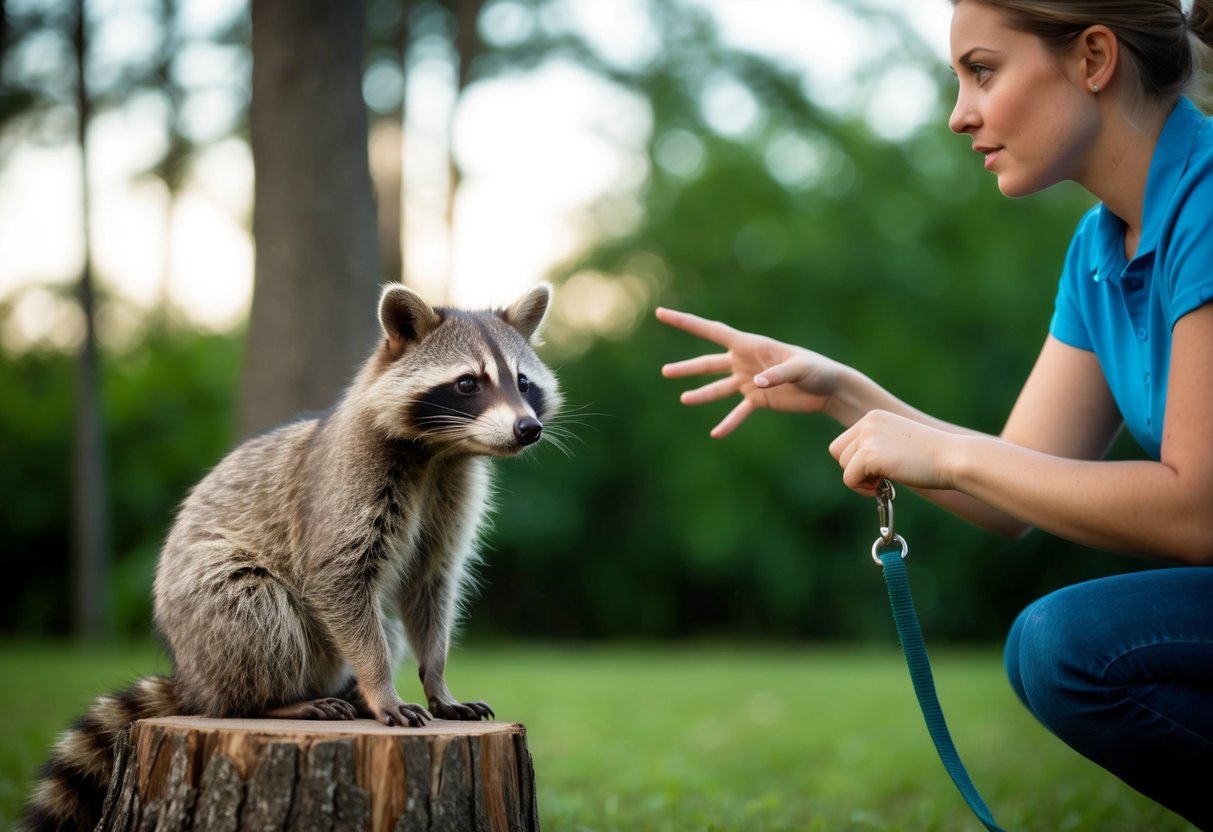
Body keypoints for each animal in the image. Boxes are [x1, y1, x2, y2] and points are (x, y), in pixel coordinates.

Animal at [23, 282, 561, 831]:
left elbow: (429, 585)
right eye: (468, 383)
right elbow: (336, 578)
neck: (440, 450)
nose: (528, 428)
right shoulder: (346, 486)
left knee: (384, 624)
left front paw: (436, 680)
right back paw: (271, 703)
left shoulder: (452, 494)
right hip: (208, 609)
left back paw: (346, 693)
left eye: (522, 382)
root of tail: (192, 679)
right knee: (258, 614)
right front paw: (381, 686)